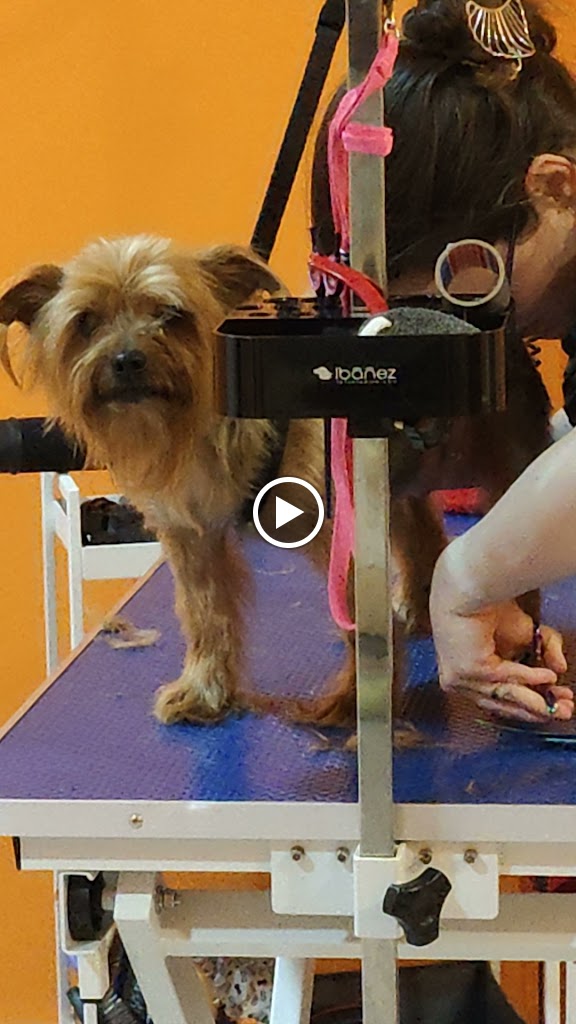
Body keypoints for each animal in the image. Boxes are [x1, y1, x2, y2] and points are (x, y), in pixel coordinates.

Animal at [0, 235, 549, 726]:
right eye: (86, 322)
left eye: (172, 316)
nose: (127, 359)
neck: (201, 430)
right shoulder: (192, 539)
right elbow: (206, 616)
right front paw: (205, 691)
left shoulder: (337, 535)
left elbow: (361, 628)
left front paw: (358, 703)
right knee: (421, 531)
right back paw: (421, 601)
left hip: (502, 465)